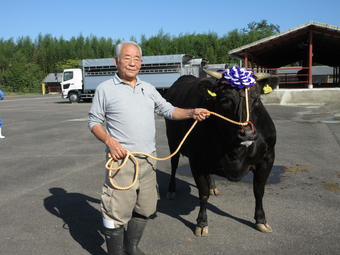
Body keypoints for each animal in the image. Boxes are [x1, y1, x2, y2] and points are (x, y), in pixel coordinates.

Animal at [165, 68, 278, 236]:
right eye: (225, 100)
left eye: (257, 99)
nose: (247, 133)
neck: (235, 151)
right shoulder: (197, 161)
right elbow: (203, 193)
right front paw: (201, 223)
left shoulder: (267, 159)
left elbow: (258, 191)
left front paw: (261, 220)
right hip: (173, 142)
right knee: (174, 165)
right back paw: (171, 190)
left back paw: (213, 186)